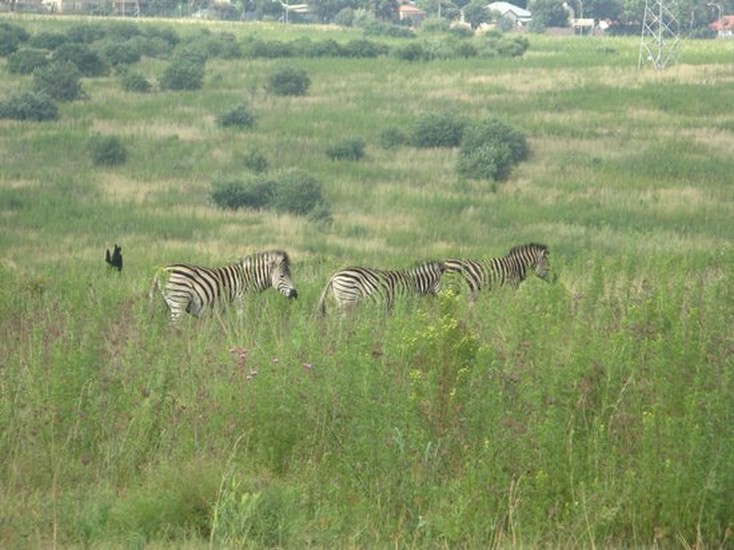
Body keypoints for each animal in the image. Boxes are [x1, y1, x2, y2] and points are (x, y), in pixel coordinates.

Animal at [150, 250, 300, 324]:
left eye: (291, 275)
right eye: (282, 276)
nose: (295, 294)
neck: (248, 279)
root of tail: (160, 270)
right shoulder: (241, 301)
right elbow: (242, 324)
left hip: (169, 303)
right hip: (179, 302)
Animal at [318, 260, 446, 316]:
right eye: (442, 282)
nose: (444, 299)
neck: (414, 284)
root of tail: (335, 275)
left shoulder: (391, 305)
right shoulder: (404, 302)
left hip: (342, 299)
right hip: (348, 298)